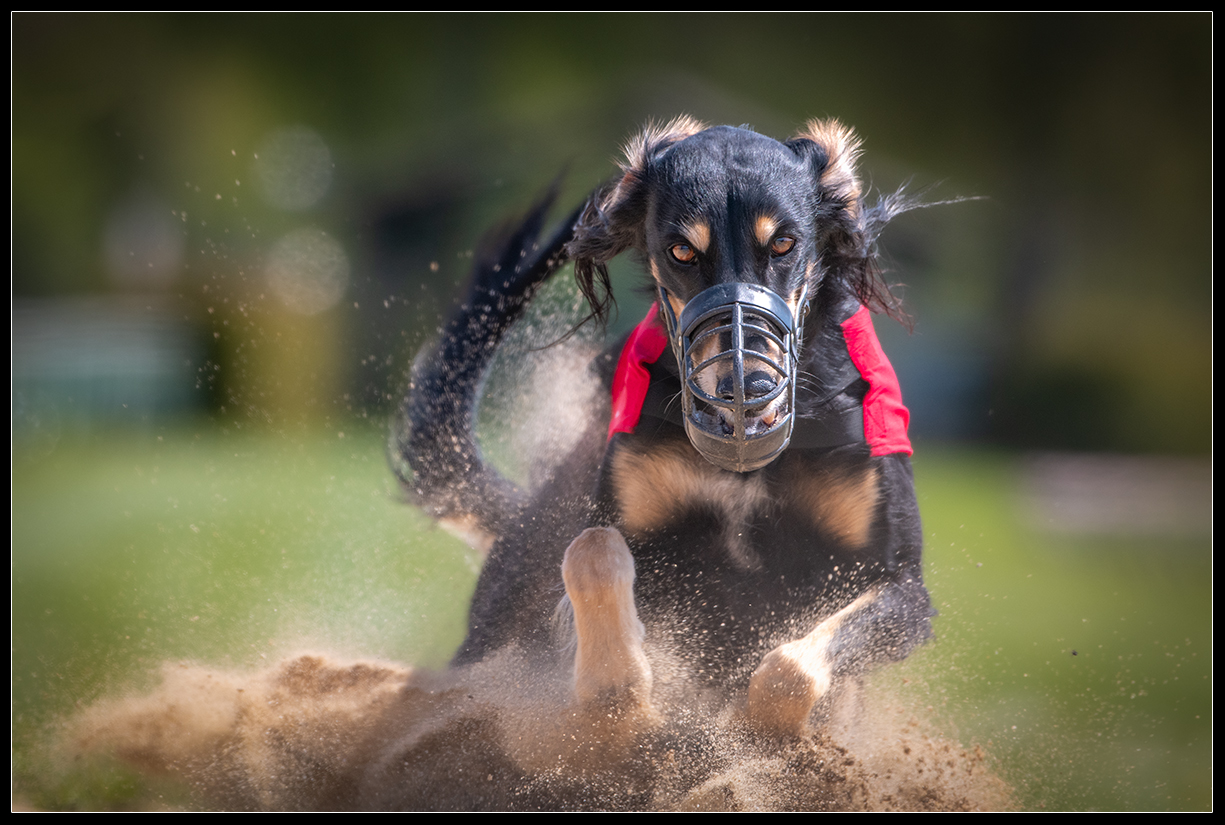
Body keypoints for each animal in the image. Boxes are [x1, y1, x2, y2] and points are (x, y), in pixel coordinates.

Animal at [396, 114, 931, 735]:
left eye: (784, 243)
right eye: (681, 251)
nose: (744, 393)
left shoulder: (905, 593)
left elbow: (789, 670)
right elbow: (591, 550)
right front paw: (622, 691)